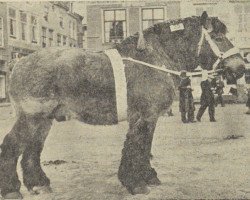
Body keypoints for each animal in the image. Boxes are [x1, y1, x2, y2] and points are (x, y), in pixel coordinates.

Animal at [0, 12, 245, 198]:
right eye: (217, 36)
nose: (241, 68)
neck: (154, 58)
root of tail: (19, 62)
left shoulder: (149, 118)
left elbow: (144, 147)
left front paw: (148, 176)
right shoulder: (144, 116)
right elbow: (136, 147)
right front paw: (135, 183)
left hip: (44, 120)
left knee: (32, 150)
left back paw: (38, 184)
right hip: (32, 117)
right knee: (11, 146)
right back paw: (12, 189)